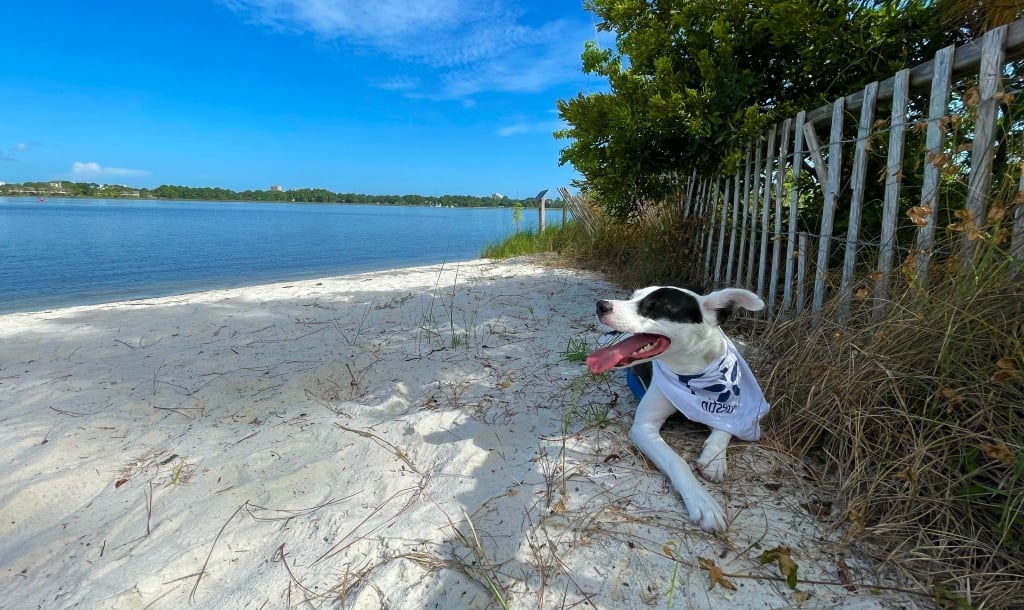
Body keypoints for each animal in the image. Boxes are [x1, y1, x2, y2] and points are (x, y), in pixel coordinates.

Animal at [585, 286, 770, 528]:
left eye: (656, 305)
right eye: (632, 297)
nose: (601, 305)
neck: (693, 372)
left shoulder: (733, 411)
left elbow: (725, 429)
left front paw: (714, 460)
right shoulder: (644, 427)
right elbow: (677, 461)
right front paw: (703, 502)